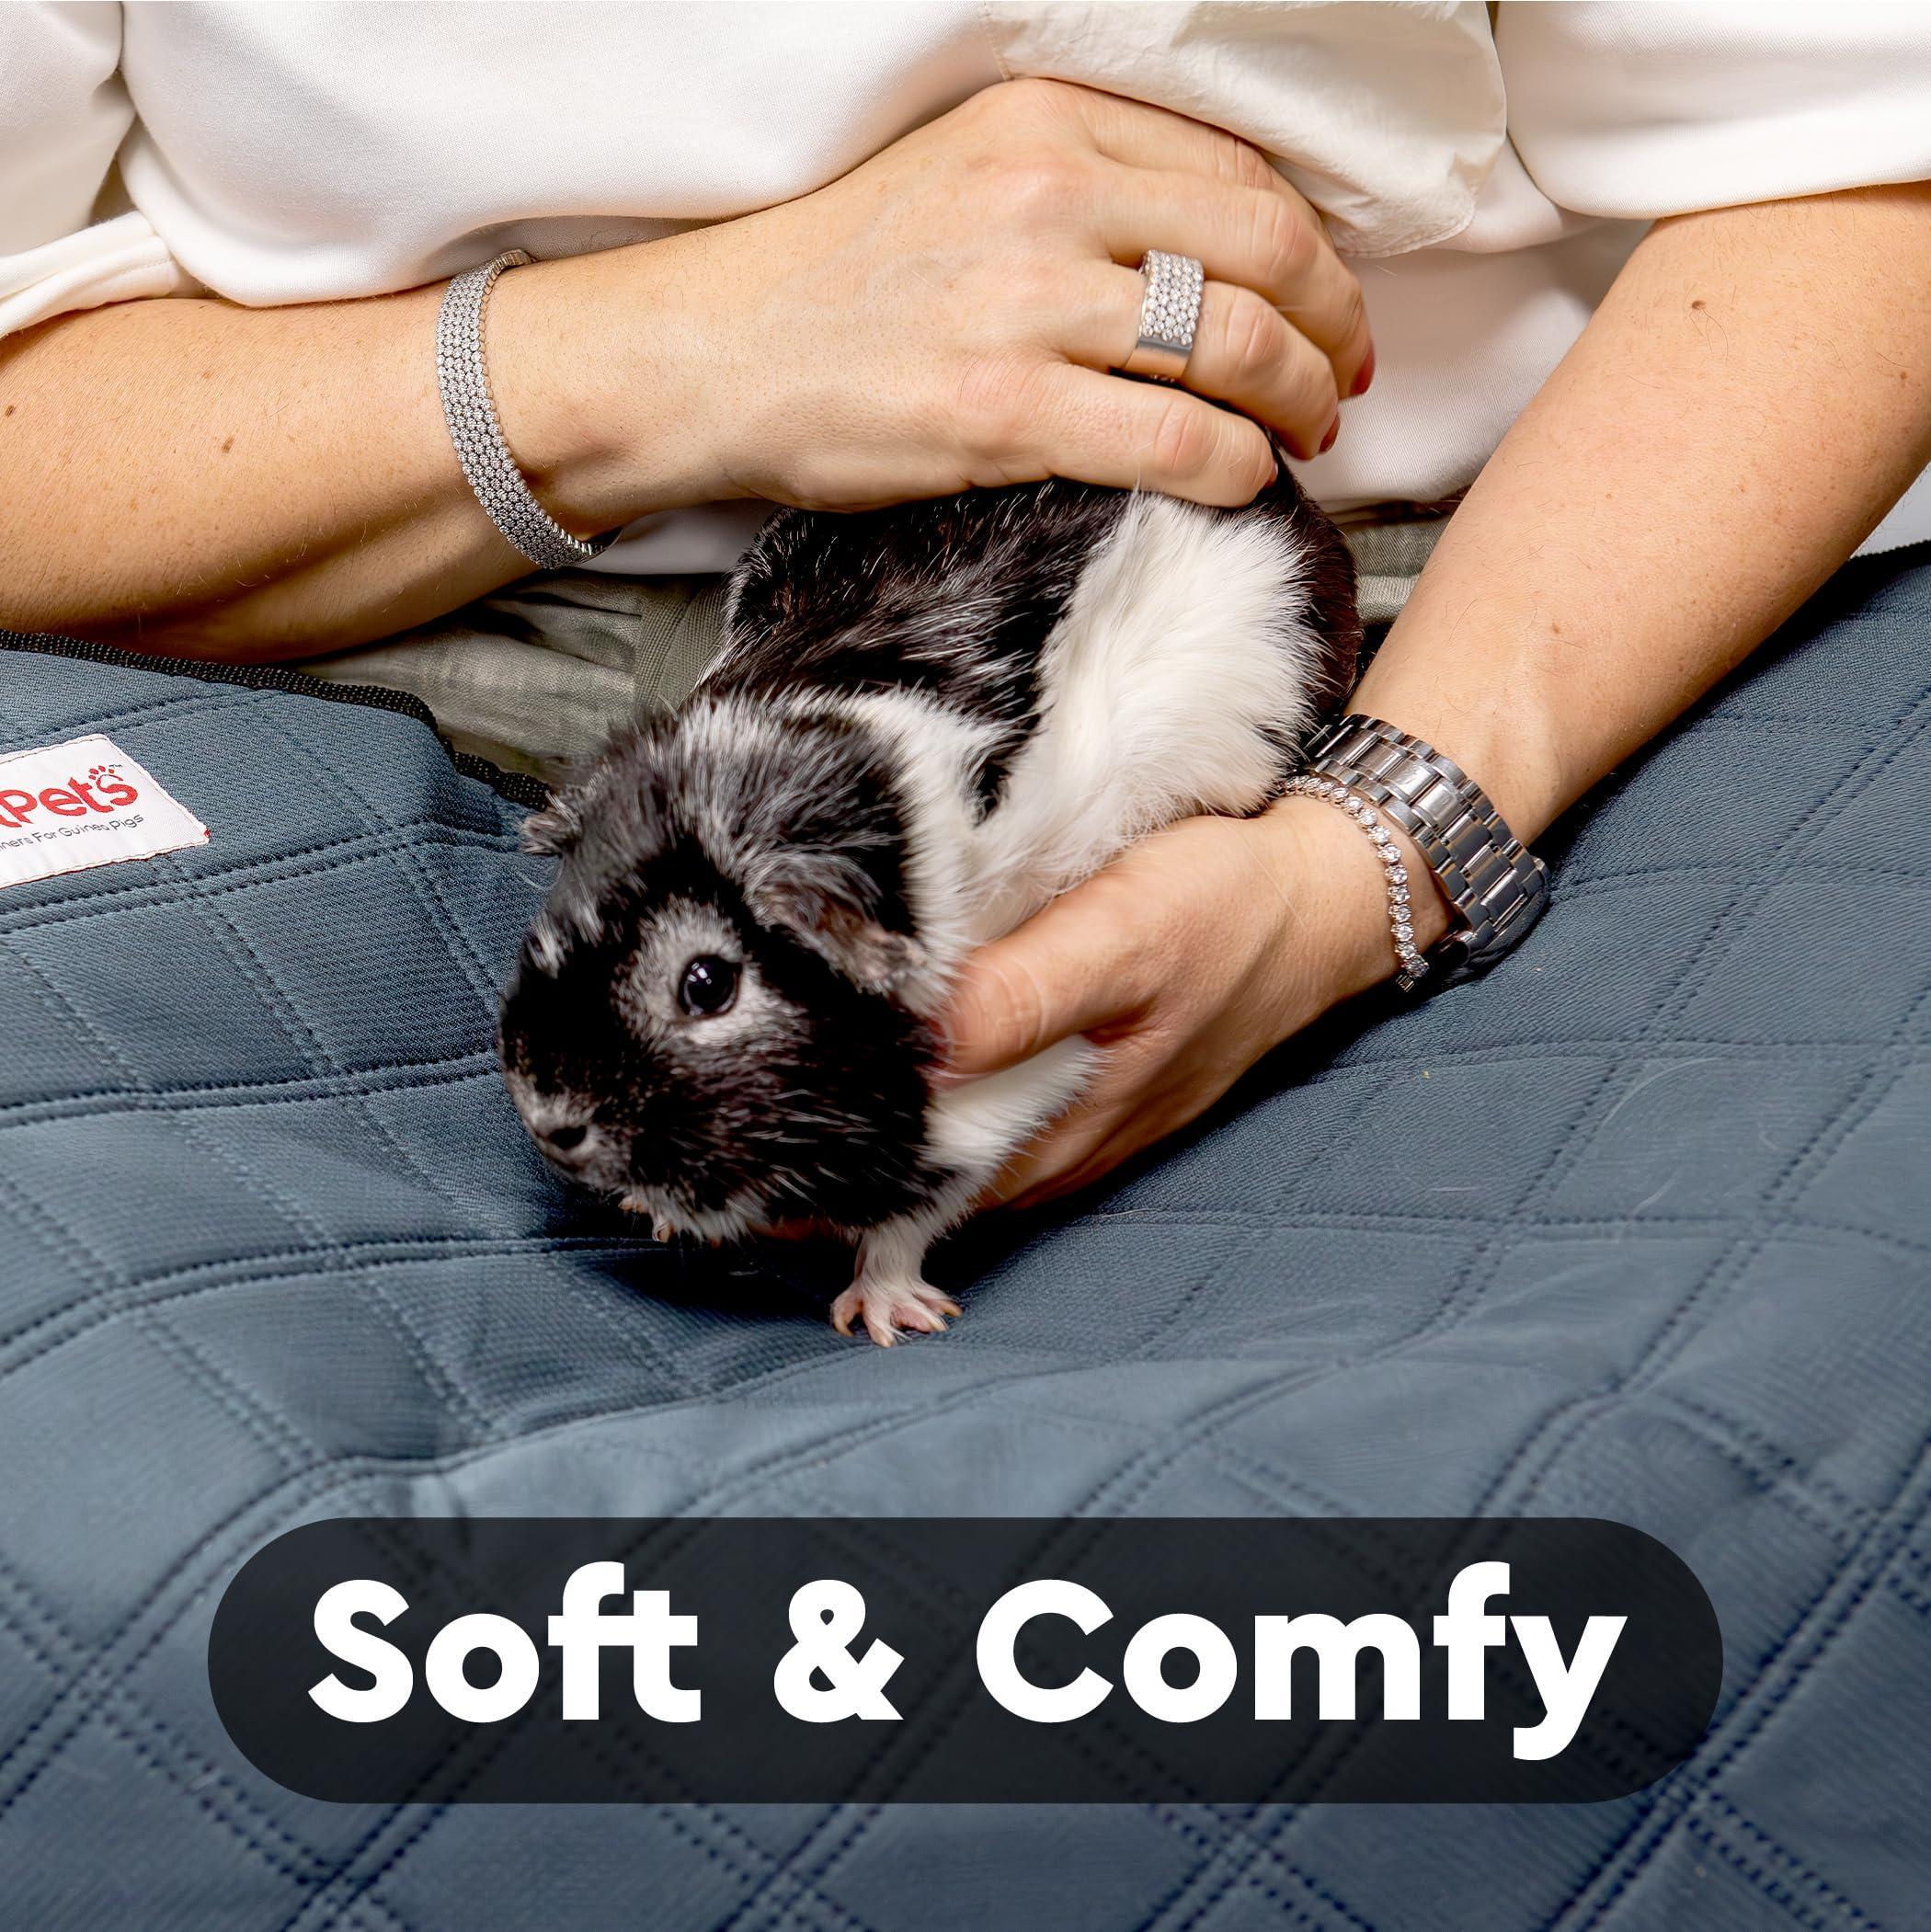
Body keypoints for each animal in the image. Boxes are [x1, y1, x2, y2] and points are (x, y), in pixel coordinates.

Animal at [498, 470, 1360, 1344]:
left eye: (706, 983)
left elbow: (911, 1217)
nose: (548, 1117)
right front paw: (655, 1213)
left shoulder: (1003, 1092)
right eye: (560, 917)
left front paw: (888, 1317)